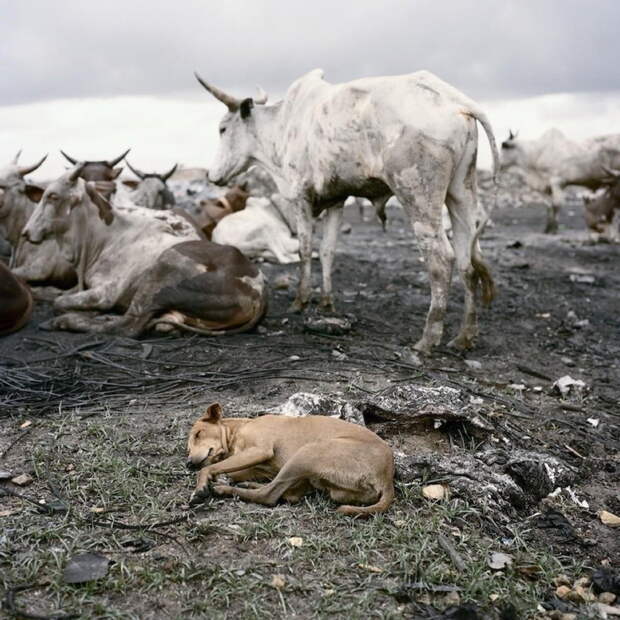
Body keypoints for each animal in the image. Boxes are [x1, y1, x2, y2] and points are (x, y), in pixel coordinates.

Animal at [21, 163, 268, 334]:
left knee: (128, 326)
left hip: (163, 271)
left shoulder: (104, 293)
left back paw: (65, 322)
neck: (102, 238)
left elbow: (59, 302)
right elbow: (54, 294)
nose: (26, 232)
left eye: (52, 196)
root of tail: (260, 292)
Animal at [186, 402, 394, 512]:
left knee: (269, 496)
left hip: (307, 452)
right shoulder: (257, 466)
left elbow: (207, 468)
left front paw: (201, 487)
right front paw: (224, 477)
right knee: (285, 493)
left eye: (198, 434)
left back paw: (224, 489)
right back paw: (244, 485)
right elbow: (231, 471)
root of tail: (387, 479)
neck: (237, 430)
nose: (188, 463)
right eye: (187, 449)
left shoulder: (259, 450)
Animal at [197, 68, 498, 354]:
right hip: (461, 193)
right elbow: (328, 251)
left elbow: (305, 250)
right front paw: (326, 302)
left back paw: (427, 339)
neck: (283, 125)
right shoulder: (337, 200)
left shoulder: (301, 197)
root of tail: (456, 101)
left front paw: (300, 301)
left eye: (223, 128)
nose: (212, 176)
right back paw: (464, 337)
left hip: (418, 196)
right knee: (468, 261)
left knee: (441, 258)